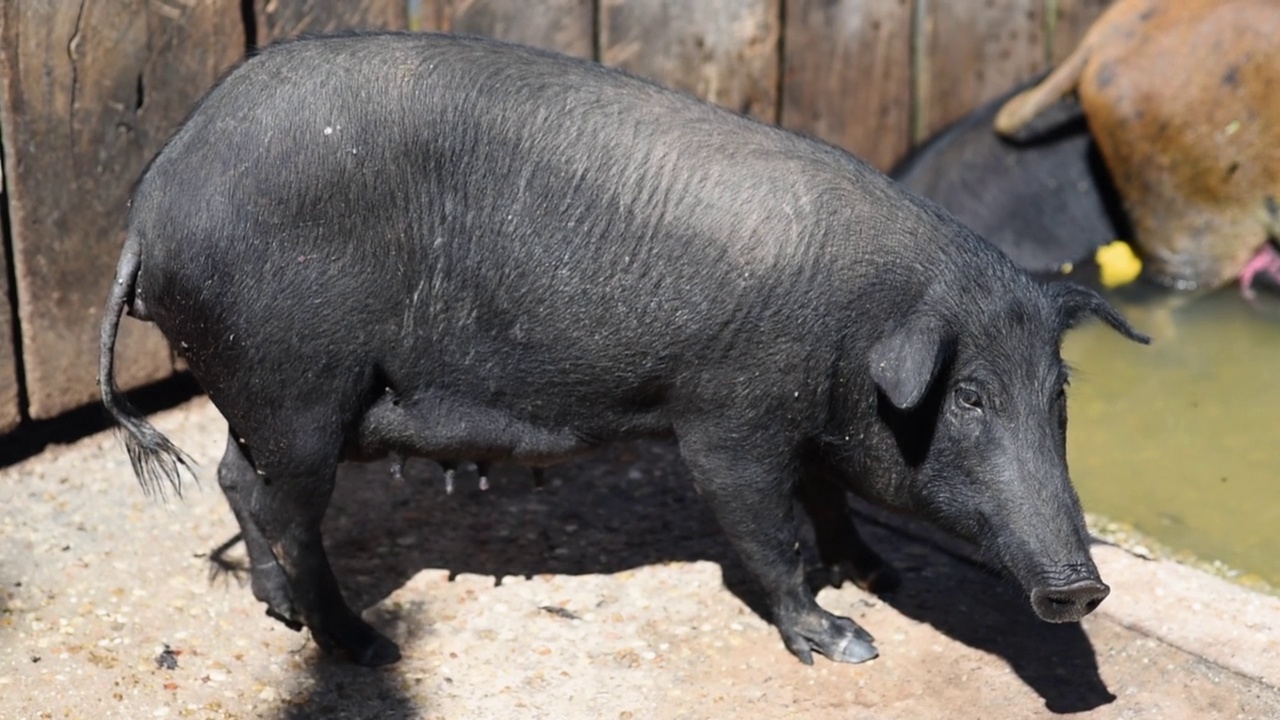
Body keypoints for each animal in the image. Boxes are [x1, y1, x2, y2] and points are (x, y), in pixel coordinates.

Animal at [94, 30, 1146, 666]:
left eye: (1057, 395)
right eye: (969, 396)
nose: (1082, 587)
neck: (856, 328)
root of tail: (146, 215)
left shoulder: (804, 426)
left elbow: (829, 501)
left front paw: (886, 576)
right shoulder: (726, 415)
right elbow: (767, 530)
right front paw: (849, 642)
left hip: (262, 395)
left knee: (237, 480)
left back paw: (278, 611)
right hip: (300, 388)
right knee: (292, 512)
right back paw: (363, 647)